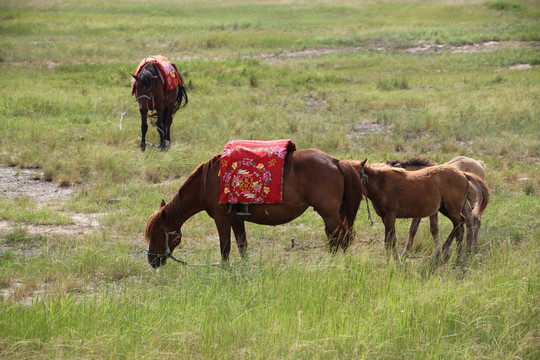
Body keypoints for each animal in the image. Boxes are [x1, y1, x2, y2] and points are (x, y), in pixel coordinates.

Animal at [143, 148, 362, 268]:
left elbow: (225, 250)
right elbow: (243, 247)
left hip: (330, 215)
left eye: (157, 233)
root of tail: (336, 162)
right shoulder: (237, 220)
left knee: (342, 239)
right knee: (336, 240)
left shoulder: (222, 220)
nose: (152, 261)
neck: (209, 182)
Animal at [350, 159, 490, 260]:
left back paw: (458, 257)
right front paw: (394, 259)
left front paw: (393, 260)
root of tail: (463, 174)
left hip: (453, 209)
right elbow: (392, 239)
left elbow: (390, 240)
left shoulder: (390, 216)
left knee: (461, 227)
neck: (382, 183)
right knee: (461, 224)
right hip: (446, 209)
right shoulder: (385, 218)